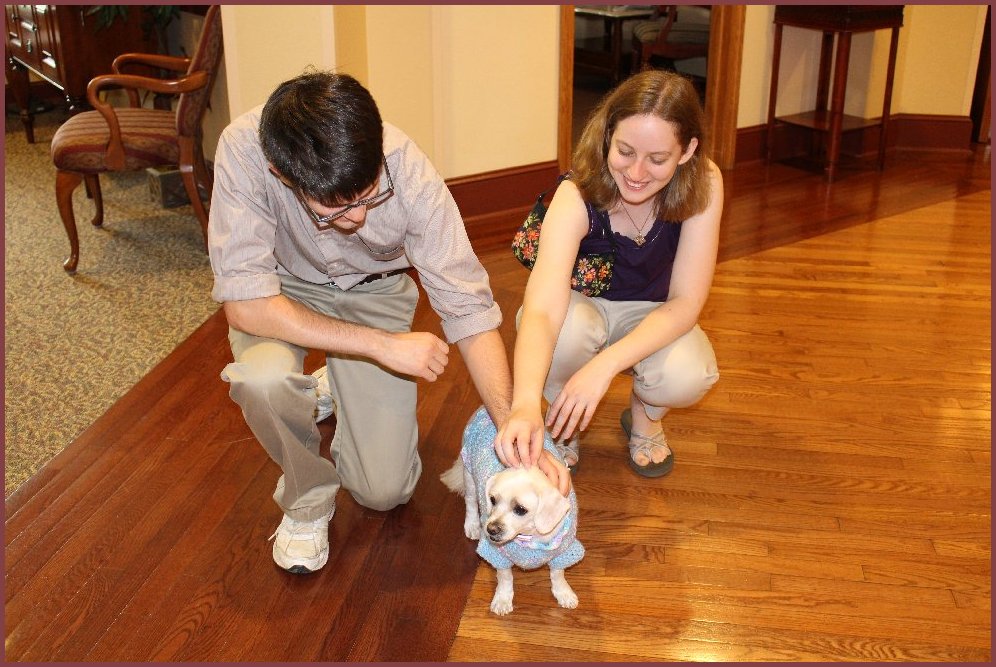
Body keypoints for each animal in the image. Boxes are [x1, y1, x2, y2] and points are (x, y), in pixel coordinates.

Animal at [441, 406, 584, 615]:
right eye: (492, 499)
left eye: (520, 509)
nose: (490, 530)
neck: (530, 537)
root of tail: (482, 409)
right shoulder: (499, 556)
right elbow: (505, 578)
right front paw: (502, 599)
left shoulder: (563, 553)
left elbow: (558, 574)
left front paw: (564, 593)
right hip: (469, 476)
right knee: (470, 502)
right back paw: (472, 525)